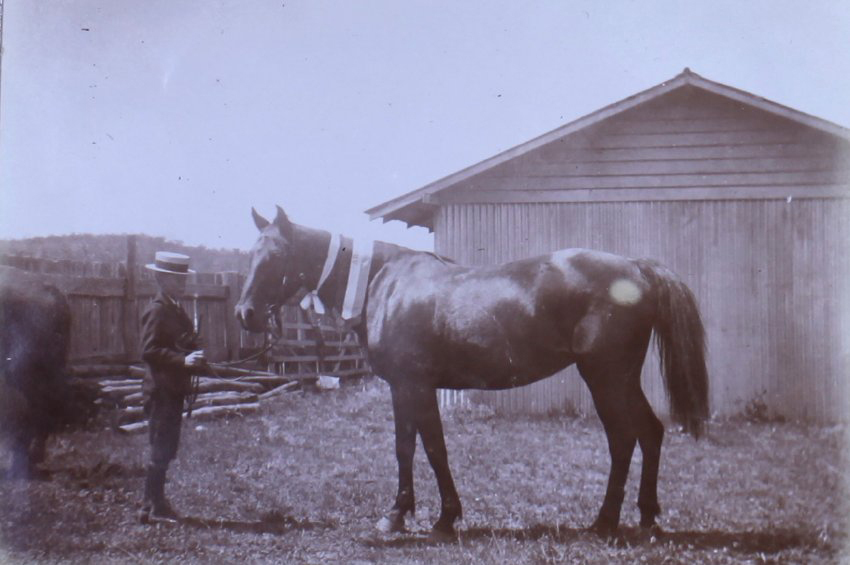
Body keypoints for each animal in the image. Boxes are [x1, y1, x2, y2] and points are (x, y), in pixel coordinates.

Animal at [235, 205, 709, 539]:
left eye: (276, 255)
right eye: (251, 254)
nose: (246, 314)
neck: (381, 282)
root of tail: (637, 267)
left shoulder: (411, 386)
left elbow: (422, 448)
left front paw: (419, 517)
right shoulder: (411, 388)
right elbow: (420, 447)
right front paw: (423, 515)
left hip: (605, 377)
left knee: (624, 439)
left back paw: (605, 522)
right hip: (622, 379)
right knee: (650, 432)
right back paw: (647, 517)